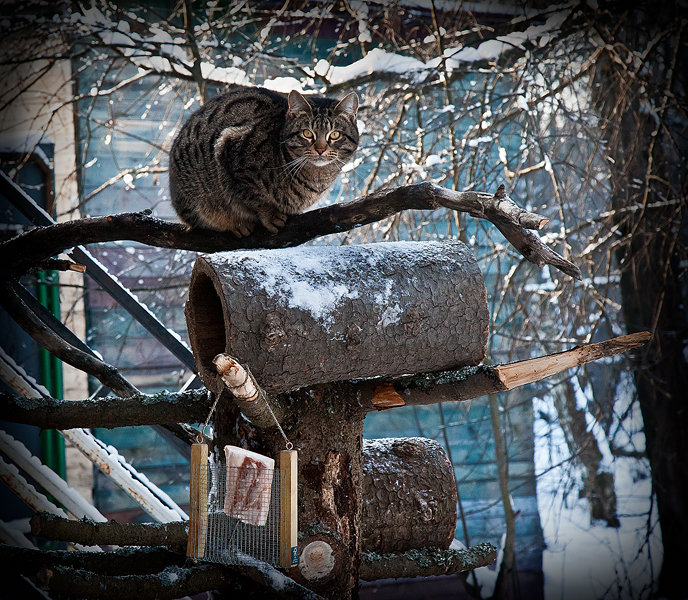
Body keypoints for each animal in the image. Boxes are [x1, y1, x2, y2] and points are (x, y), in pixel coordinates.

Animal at [169, 85, 358, 236]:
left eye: (335, 134)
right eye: (307, 133)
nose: (320, 149)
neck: (317, 178)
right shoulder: (230, 149)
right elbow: (254, 195)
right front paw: (270, 214)